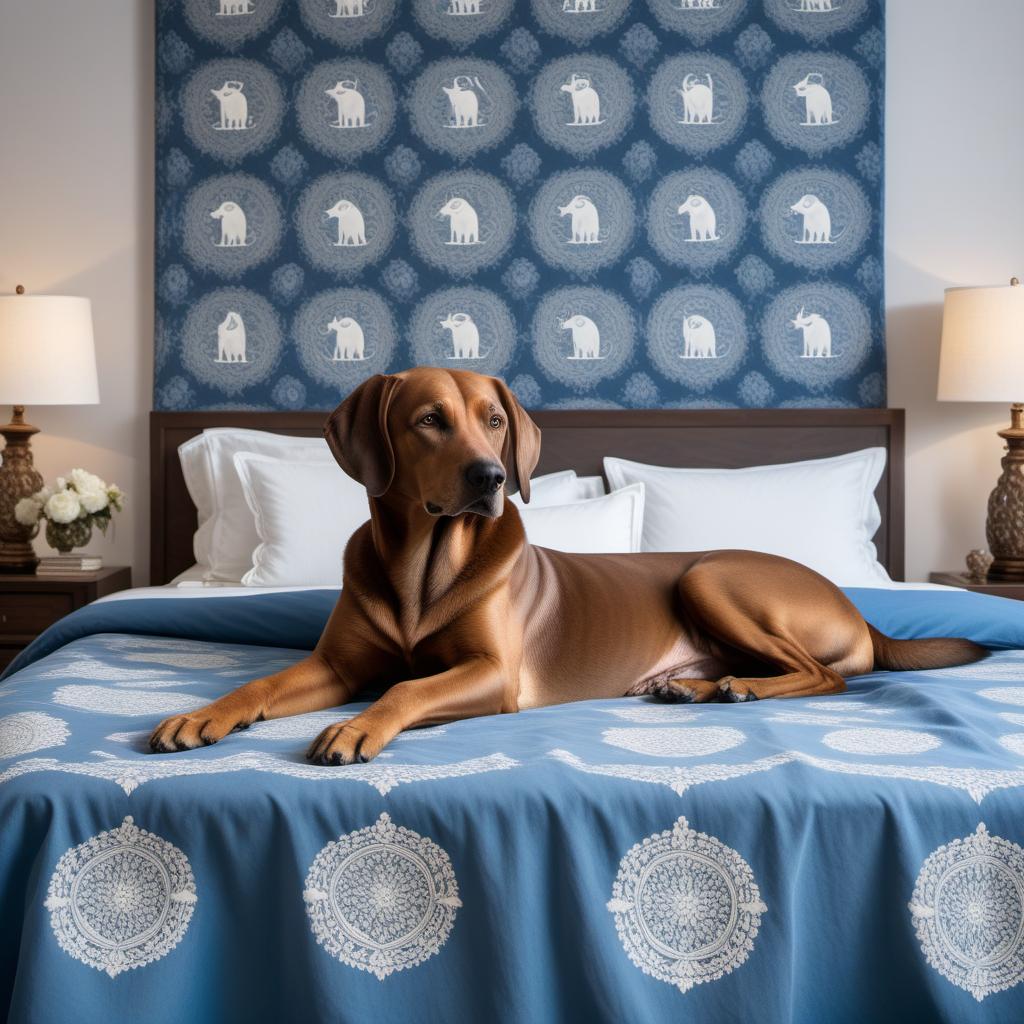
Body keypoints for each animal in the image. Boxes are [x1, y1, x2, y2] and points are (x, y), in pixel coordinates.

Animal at [149, 366, 983, 761]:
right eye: (428, 421)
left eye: (493, 420)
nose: (491, 477)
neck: (423, 566)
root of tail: (863, 615)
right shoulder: (338, 665)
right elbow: (260, 684)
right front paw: (201, 714)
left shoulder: (493, 674)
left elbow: (403, 690)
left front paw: (357, 728)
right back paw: (694, 686)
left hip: (709, 574)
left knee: (824, 674)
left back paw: (741, 686)